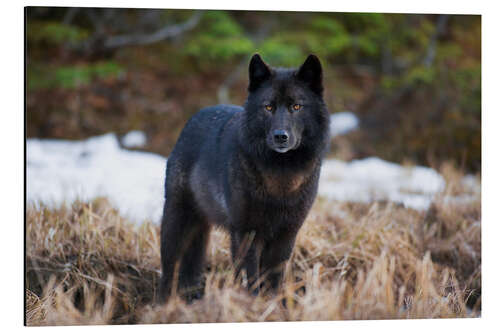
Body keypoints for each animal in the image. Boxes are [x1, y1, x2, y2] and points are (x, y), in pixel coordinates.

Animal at [160, 52, 330, 300]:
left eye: (296, 106)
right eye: (268, 107)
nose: (281, 136)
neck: (280, 177)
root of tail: (193, 118)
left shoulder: (286, 235)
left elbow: (273, 279)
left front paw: (272, 304)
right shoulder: (245, 234)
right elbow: (250, 278)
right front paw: (251, 302)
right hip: (176, 223)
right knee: (168, 269)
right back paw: (163, 303)